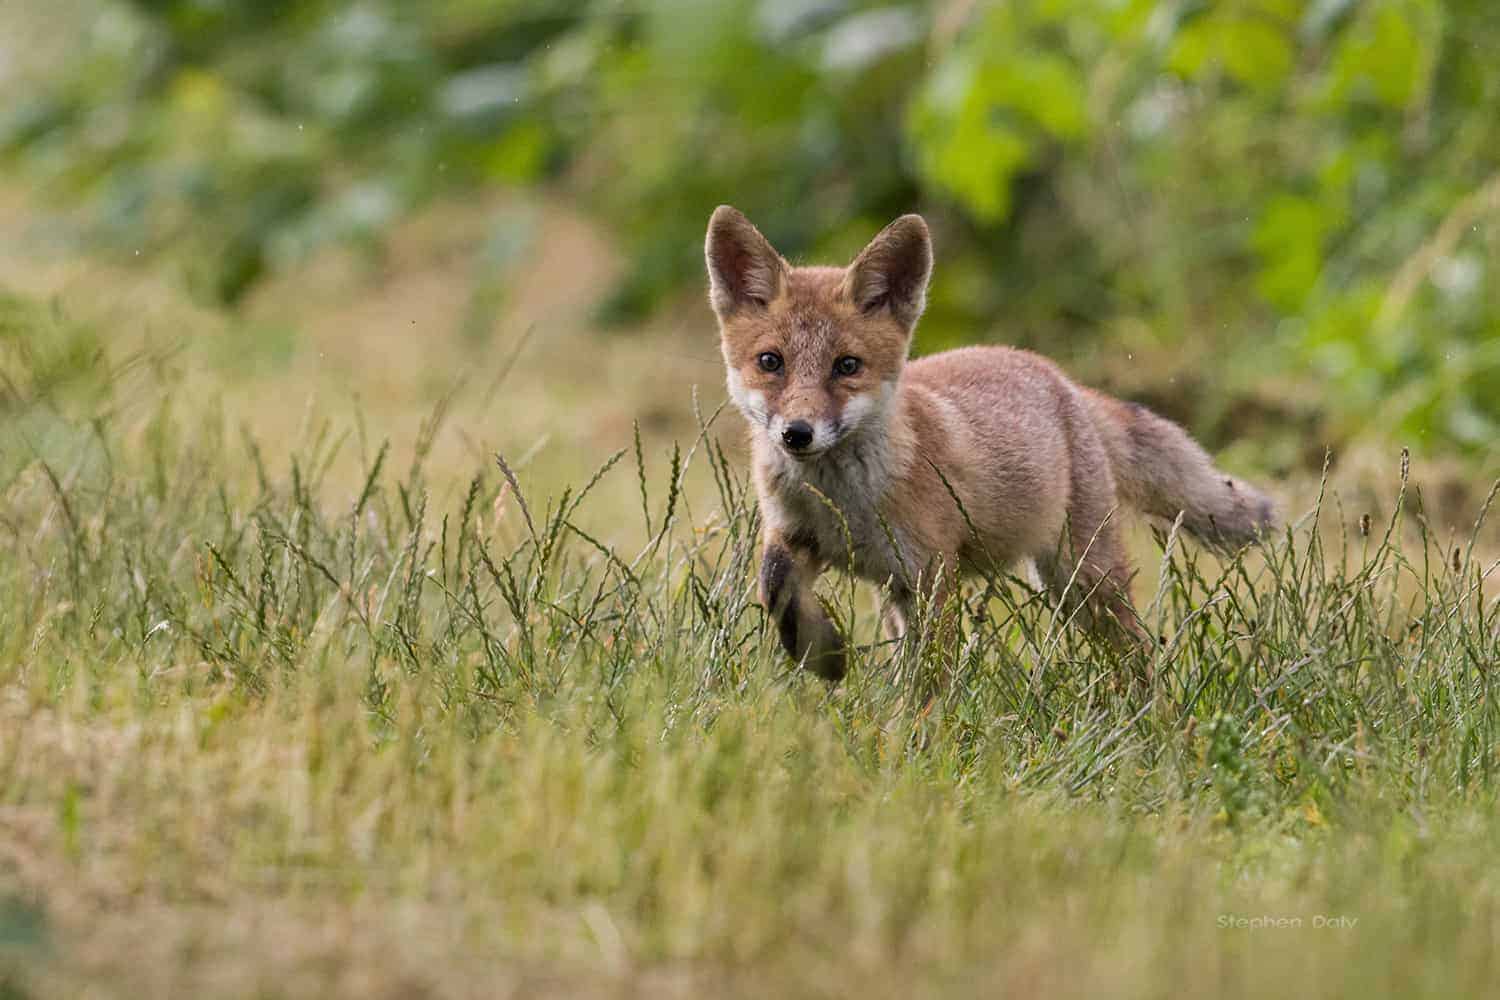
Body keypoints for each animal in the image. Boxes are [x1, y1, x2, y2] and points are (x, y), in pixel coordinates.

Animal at [708, 206, 1272, 683]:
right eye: (771, 362)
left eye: (846, 366)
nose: (797, 433)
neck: (841, 504)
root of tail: (1059, 377)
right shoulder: (797, 537)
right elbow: (776, 589)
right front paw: (823, 654)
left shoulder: (931, 573)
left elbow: (930, 680)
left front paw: (916, 733)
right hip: (909, 595)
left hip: (1080, 580)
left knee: (1135, 649)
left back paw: (1149, 718)